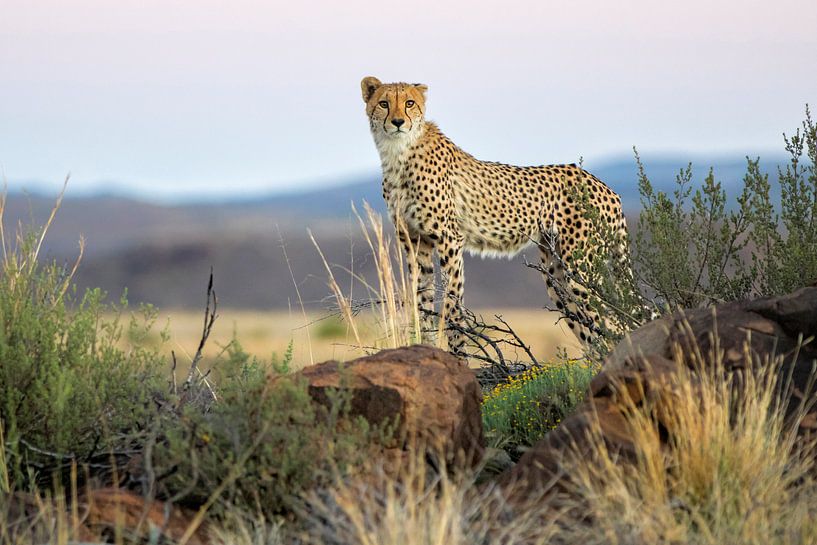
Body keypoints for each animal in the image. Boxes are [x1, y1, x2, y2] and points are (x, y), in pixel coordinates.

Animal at [358, 76, 632, 348]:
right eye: (384, 103)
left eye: (409, 103)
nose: (397, 122)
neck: (398, 153)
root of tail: (606, 187)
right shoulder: (416, 241)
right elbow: (422, 301)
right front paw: (427, 347)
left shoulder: (450, 239)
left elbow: (452, 301)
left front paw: (458, 351)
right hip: (556, 274)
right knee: (591, 334)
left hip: (579, 266)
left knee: (605, 325)